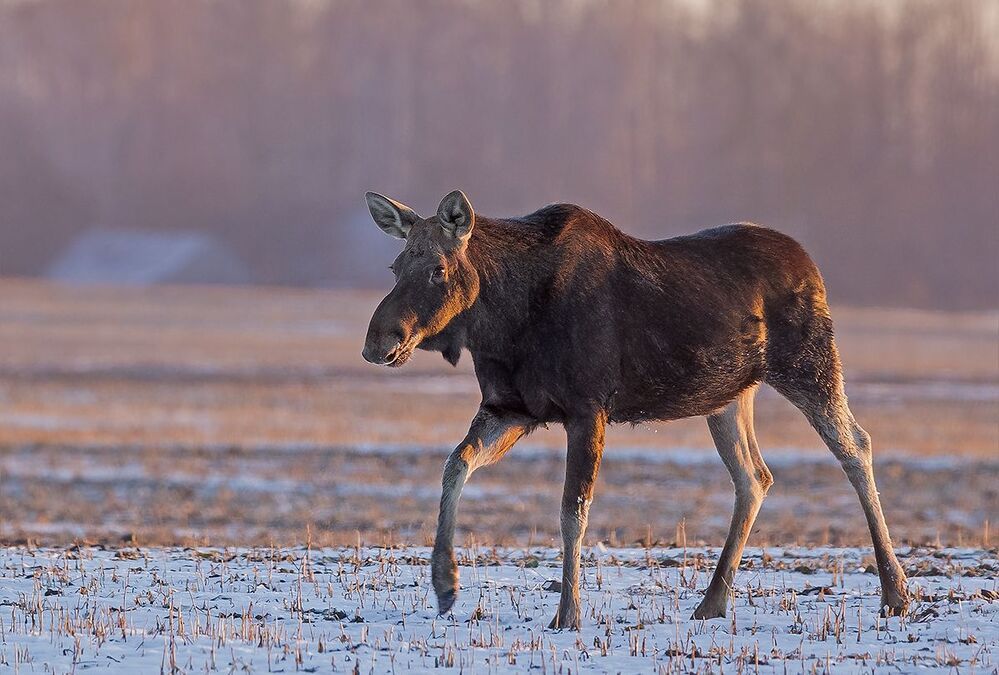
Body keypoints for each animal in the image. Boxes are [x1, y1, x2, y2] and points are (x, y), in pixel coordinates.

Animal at [361, 189, 910, 630]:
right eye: (395, 267)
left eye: (438, 268)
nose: (378, 342)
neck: (503, 322)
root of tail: (812, 266)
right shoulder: (511, 407)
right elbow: (455, 464)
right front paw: (445, 583)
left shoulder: (587, 407)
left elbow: (573, 510)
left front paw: (568, 613)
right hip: (729, 395)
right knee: (755, 476)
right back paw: (712, 600)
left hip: (808, 362)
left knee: (854, 446)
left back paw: (896, 591)